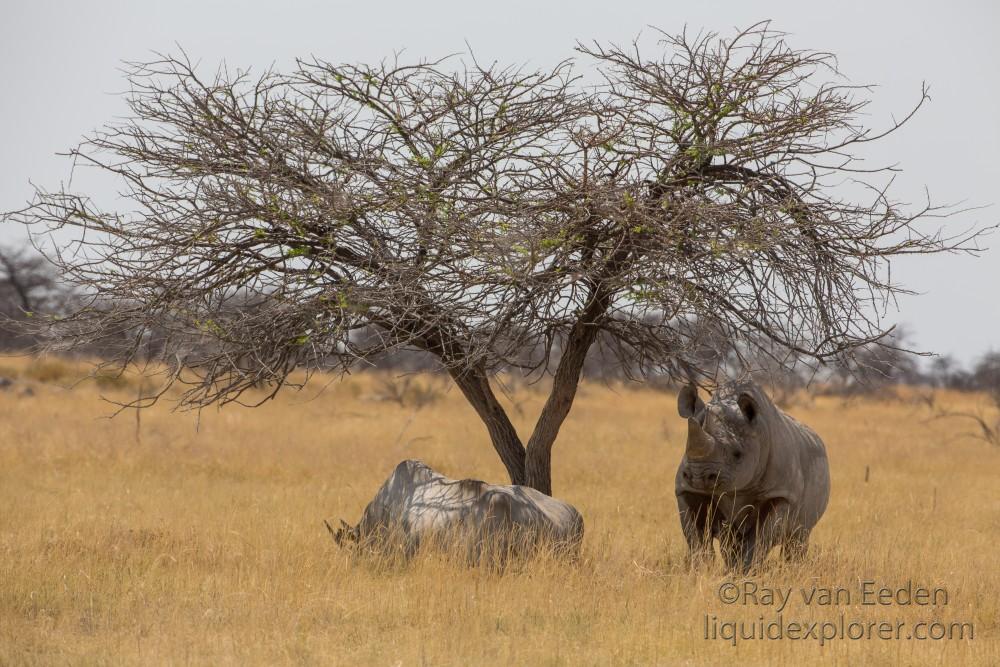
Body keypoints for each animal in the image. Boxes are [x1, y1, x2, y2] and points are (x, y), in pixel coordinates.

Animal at [676, 380, 832, 576]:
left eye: (737, 454)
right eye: (685, 448)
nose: (698, 476)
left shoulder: (781, 494)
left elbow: (760, 539)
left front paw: (745, 574)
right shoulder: (686, 490)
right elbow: (696, 539)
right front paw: (701, 572)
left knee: (798, 538)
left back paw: (793, 570)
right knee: (730, 540)